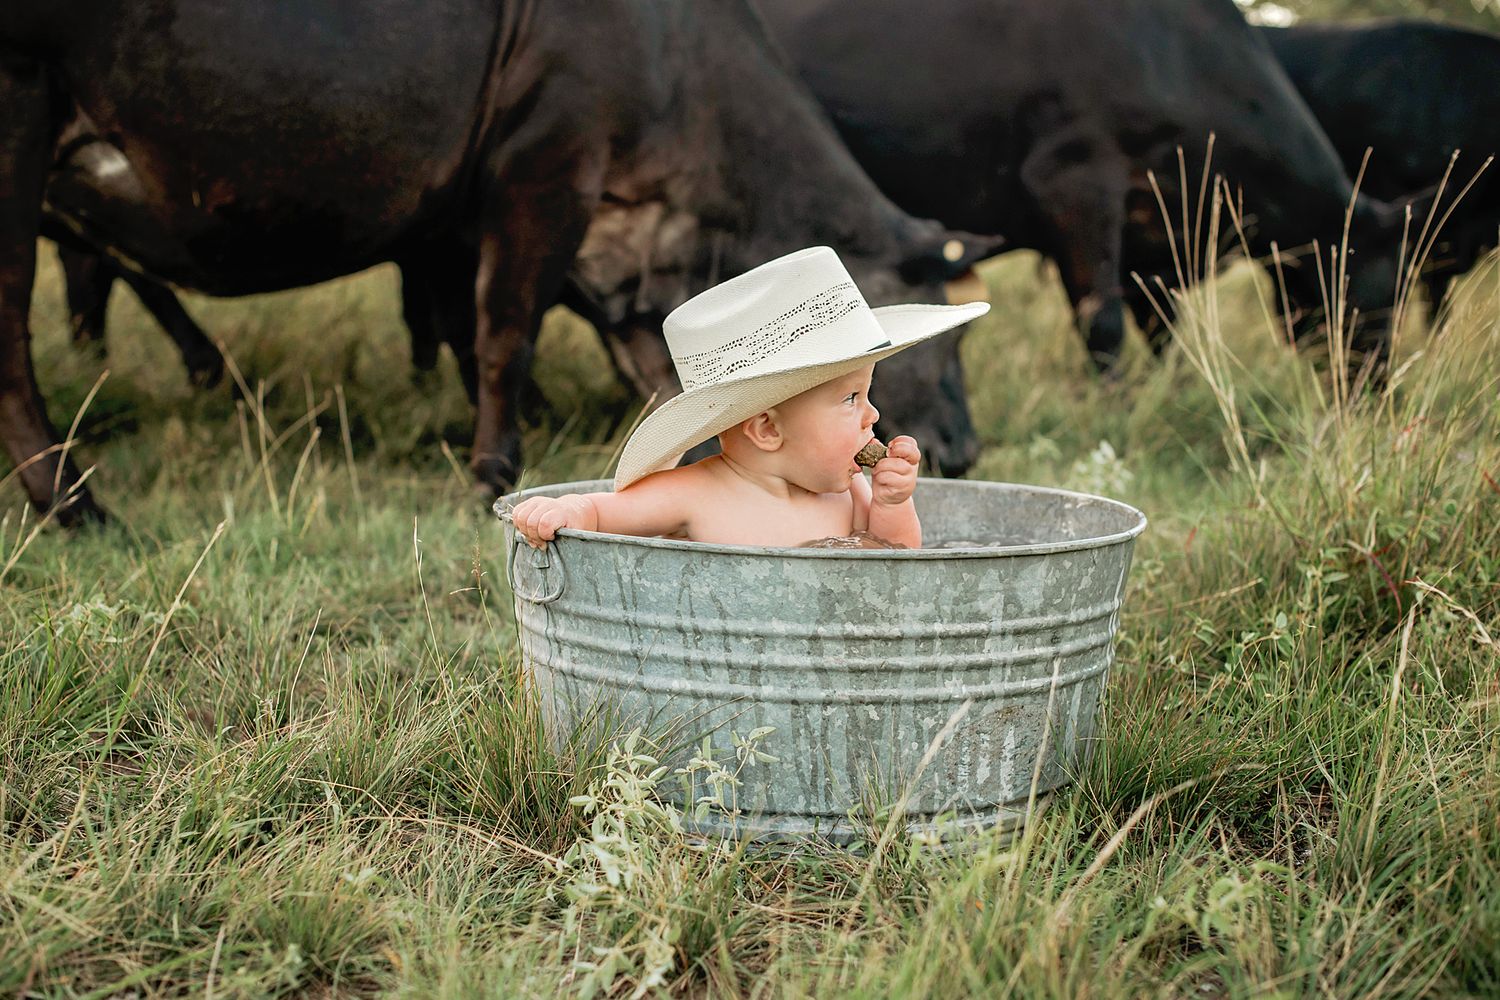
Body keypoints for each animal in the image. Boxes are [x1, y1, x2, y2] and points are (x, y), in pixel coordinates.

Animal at [0, 0, 999, 525]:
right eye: (935, 338)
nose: (963, 448)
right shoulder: (542, 169)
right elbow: (500, 334)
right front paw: (493, 467)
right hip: (21, 113)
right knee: (14, 331)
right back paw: (67, 497)